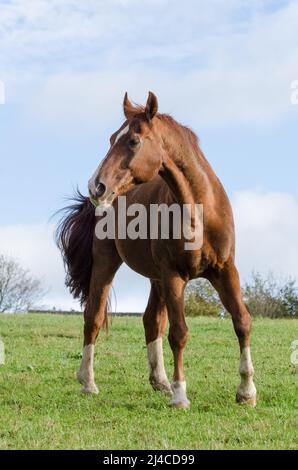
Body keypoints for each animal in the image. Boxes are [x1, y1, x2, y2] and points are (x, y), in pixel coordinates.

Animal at [57, 92, 256, 408]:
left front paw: (247, 391)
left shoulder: (225, 271)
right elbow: (179, 333)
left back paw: (159, 381)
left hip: (156, 279)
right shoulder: (174, 276)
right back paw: (88, 382)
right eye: (112, 138)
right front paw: (180, 395)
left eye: (133, 141)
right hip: (107, 264)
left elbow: (242, 322)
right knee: (93, 317)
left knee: (151, 321)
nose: (96, 186)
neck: (199, 211)